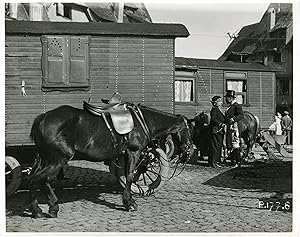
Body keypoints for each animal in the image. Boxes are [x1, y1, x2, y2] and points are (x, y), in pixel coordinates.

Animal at [28, 103, 192, 218]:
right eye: (189, 129)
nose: (190, 149)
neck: (143, 121)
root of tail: (41, 119)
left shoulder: (125, 154)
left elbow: (127, 175)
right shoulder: (133, 152)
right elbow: (130, 176)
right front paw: (129, 202)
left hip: (44, 158)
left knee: (35, 178)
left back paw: (37, 211)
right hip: (59, 158)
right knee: (40, 179)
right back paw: (52, 207)